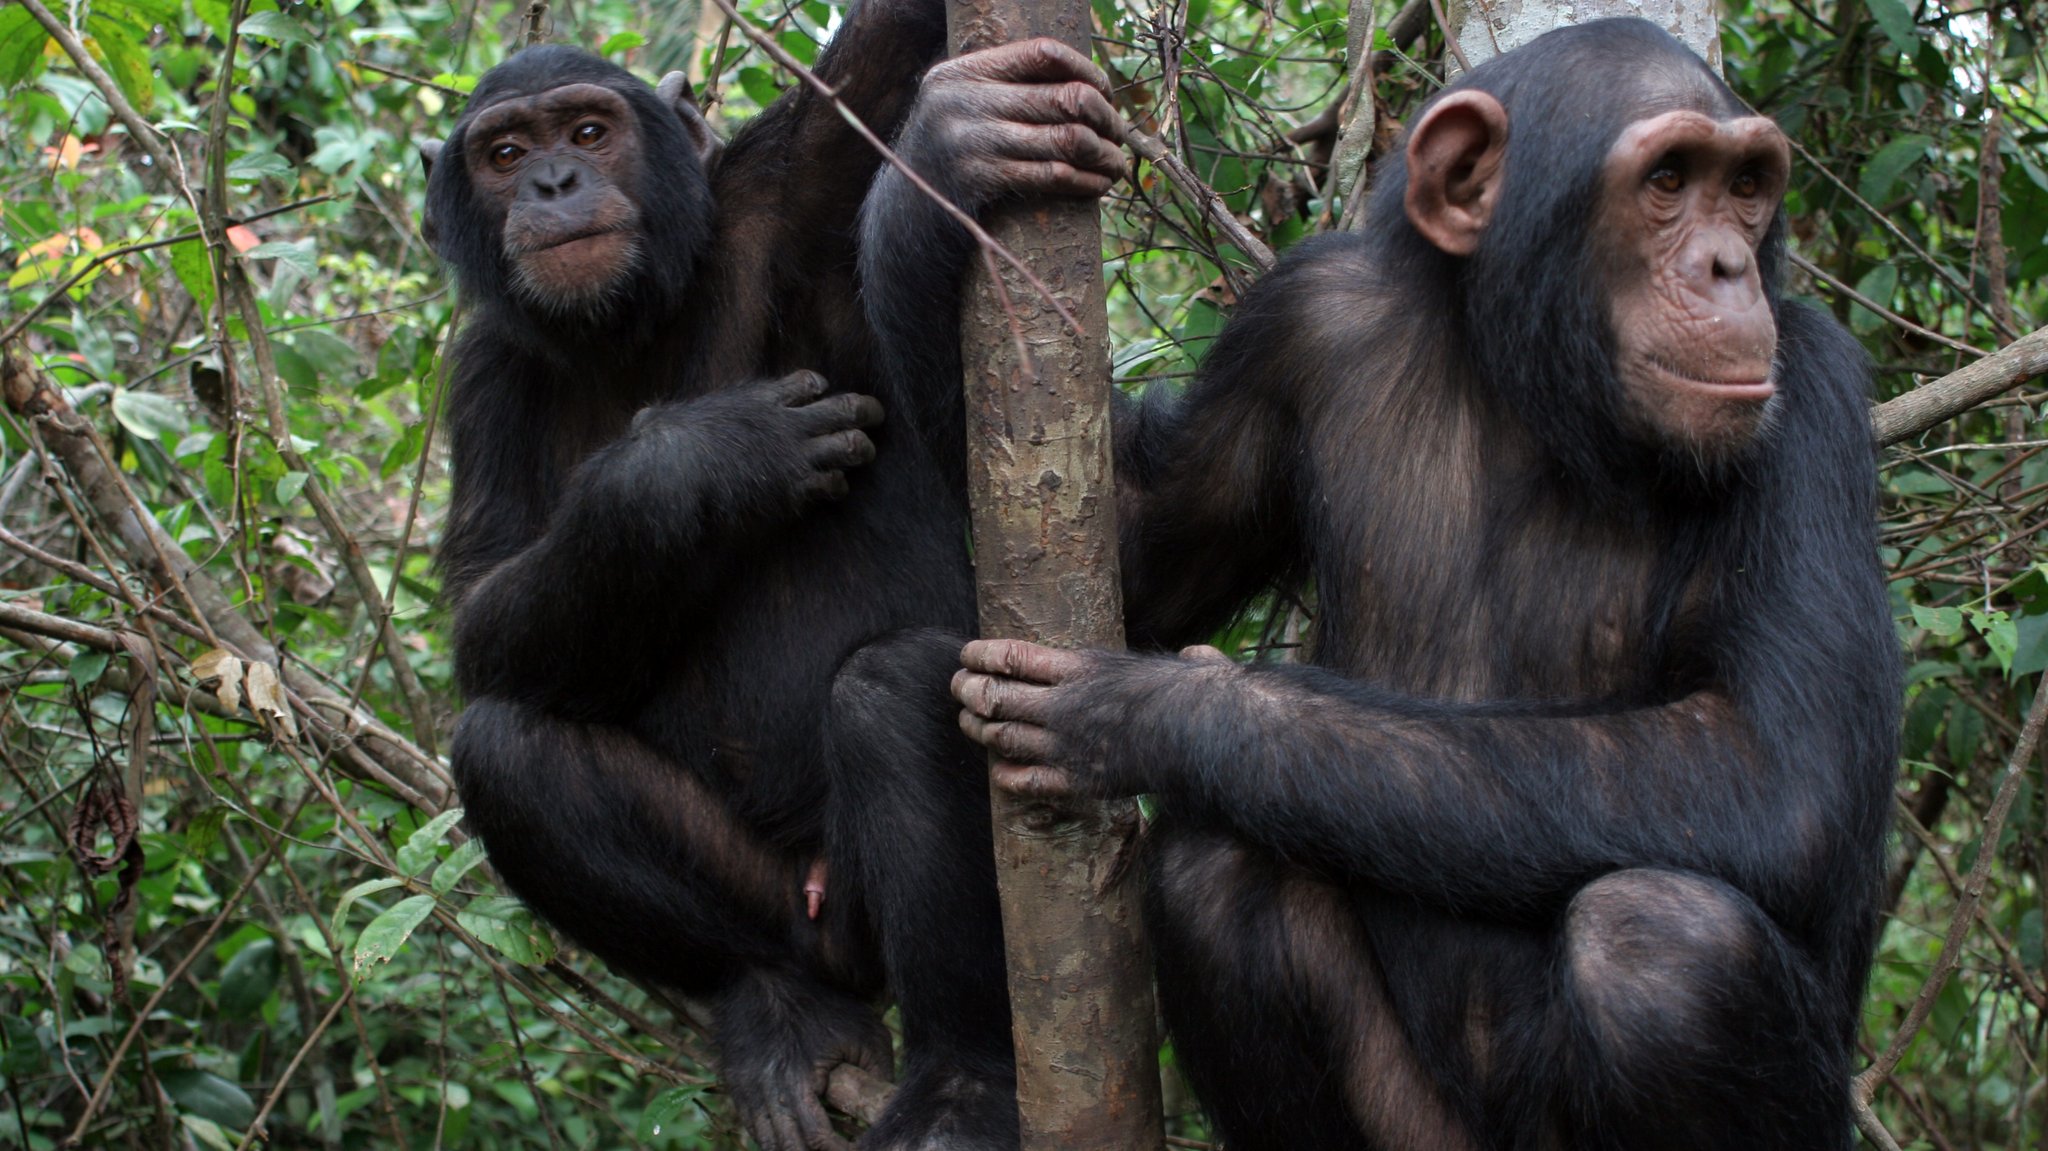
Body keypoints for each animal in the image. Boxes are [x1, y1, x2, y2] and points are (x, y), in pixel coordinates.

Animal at [417, 6, 1032, 1138]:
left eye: (588, 131)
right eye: (504, 153)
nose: (553, 185)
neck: (626, 326)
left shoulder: (787, 192)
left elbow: (878, 67)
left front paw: (957, 129)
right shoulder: (482, 380)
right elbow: (481, 612)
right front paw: (694, 458)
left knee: (891, 689)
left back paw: (960, 1086)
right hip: (776, 901)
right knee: (505, 748)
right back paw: (776, 1005)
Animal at [933, 17, 1900, 1146]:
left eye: (1746, 186)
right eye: (1668, 181)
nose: (1726, 262)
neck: (1526, 388)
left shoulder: (1812, 400)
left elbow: (1780, 772)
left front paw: (1160, 709)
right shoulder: (1297, 322)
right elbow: (1132, 546)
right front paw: (960, 137)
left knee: (1664, 947)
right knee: (1216, 867)